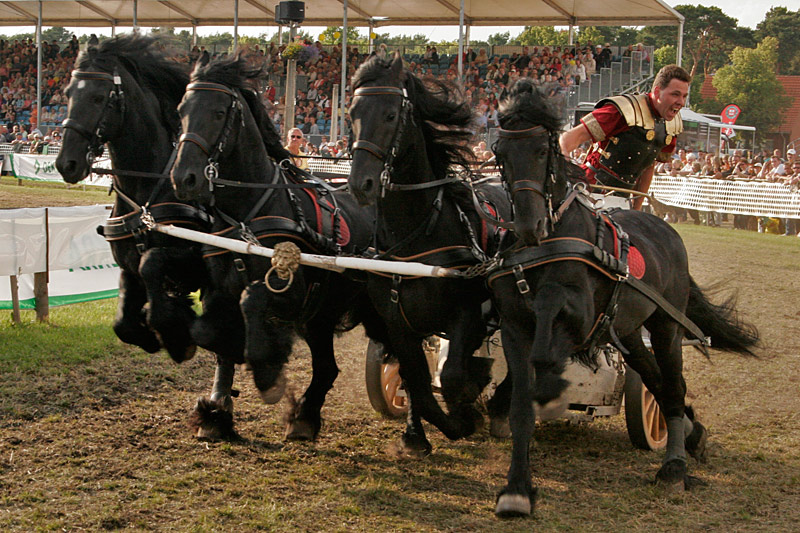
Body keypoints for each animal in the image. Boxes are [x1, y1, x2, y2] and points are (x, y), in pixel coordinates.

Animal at [55, 34, 211, 362]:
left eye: (98, 98)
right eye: (67, 94)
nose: (66, 163)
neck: (145, 197)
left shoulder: (196, 258)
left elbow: (151, 264)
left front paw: (175, 334)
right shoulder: (128, 268)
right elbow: (122, 323)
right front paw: (150, 332)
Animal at [170, 55, 388, 440]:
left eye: (217, 112)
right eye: (182, 109)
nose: (184, 177)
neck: (249, 211)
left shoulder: (292, 291)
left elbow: (252, 300)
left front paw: (266, 373)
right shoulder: (219, 290)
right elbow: (212, 337)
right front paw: (216, 411)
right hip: (321, 314)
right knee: (328, 367)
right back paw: (305, 418)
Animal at [348, 53, 512, 454]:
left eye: (391, 114)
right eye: (352, 113)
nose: (361, 183)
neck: (418, 233)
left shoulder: (466, 314)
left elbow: (451, 376)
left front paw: (467, 412)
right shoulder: (398, 324)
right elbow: (417, 384)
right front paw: (416, 434)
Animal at [488, 79, 756, 516]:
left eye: (543, 149)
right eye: (501, 152)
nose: (529, 224)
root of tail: (666, 229)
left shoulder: (578, 319)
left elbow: (546, 345)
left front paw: (550, 390)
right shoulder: (513, 327)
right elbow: (520, 407)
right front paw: (517, 489)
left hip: (666, 327)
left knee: (673, 386)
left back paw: (674, 467)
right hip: (628, 331)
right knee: (657, 383)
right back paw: (692, 434)